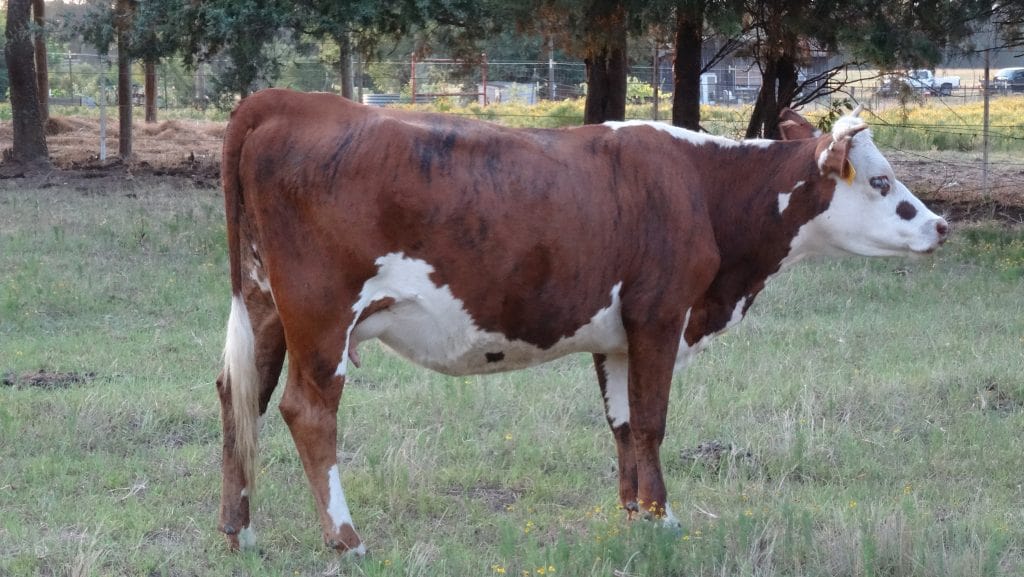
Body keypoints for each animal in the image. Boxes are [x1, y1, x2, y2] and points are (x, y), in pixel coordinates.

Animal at [215, 88, 948, 554]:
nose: (941, 224)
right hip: (322, 316)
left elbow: (623, 424)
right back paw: (346, 539)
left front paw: (633, 517)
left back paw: (239, 530)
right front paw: (664, 520)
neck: (700, 187)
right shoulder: (659, 316)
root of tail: (287, 100)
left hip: (265, 305)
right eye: (881, 181)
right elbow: (651, 422)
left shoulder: (615, 336)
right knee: (307, 410)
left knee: (240, 395)